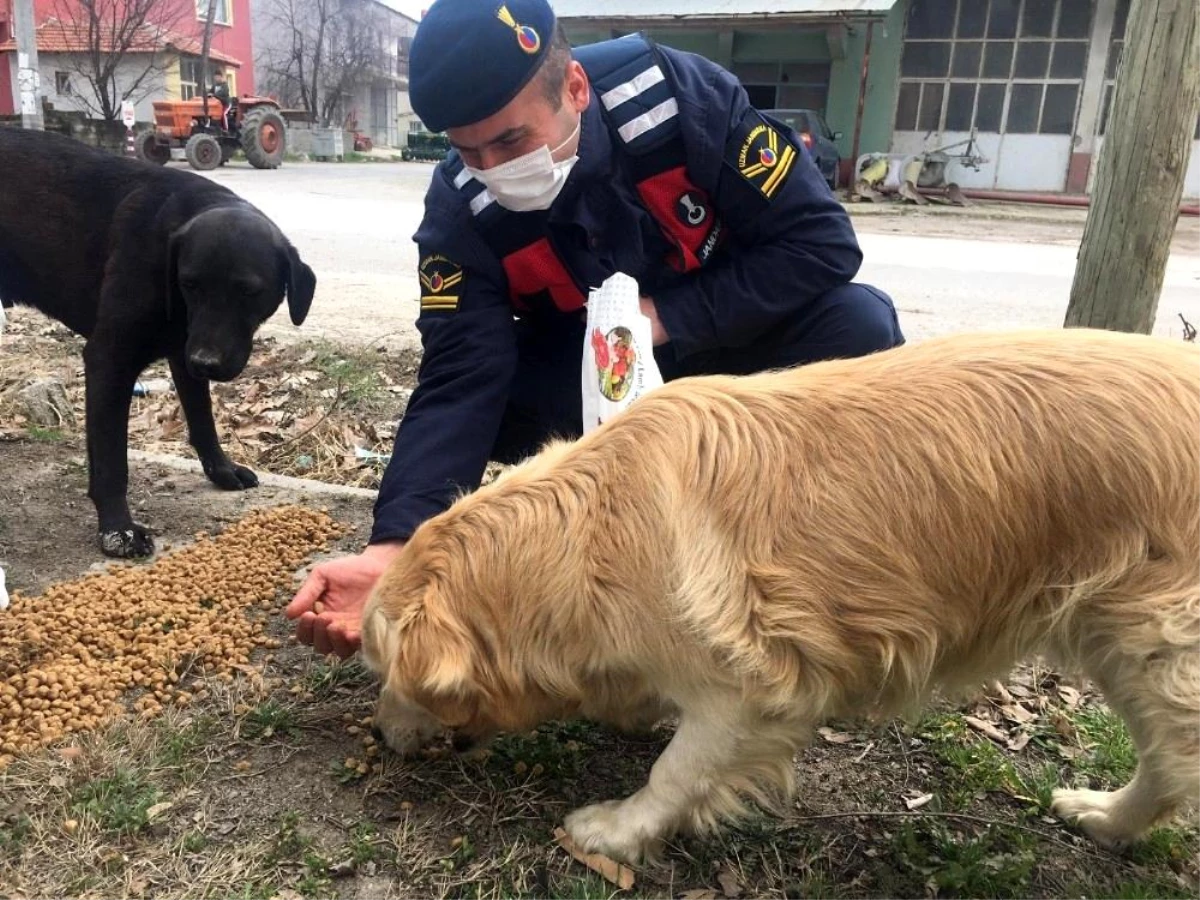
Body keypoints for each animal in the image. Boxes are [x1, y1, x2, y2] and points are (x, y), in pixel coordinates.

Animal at [0, 128, 314, 556]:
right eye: (190, 284)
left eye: (249, 292)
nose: (207, 363)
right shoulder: (110, 360)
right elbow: (113, 459)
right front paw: (118, 529)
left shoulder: (184, 354)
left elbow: (202, 421)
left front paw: (221, 471)